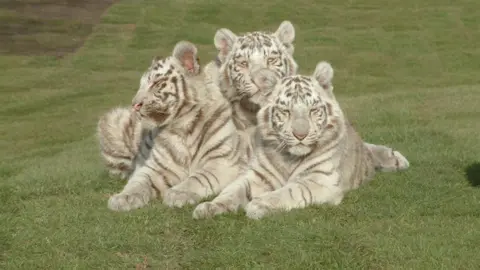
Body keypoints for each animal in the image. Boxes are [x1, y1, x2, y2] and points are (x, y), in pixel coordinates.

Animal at [107, 41, 246, 212]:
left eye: (156, 83)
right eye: (141, 85)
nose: (134, 105)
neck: (182, 126)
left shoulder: (221, 162)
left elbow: (198, 178)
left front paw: (178, 194)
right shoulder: (155, 167)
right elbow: (139, 181)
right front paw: (123, 198)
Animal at [191, 61, 408, 219]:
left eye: (313, 110)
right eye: (286, 111)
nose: (300, 135)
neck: (289, 158)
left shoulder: (320, 180)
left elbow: (289, 191)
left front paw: (258, 204)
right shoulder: (257, 175)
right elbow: (232, 191)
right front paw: (209, 207)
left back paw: (397, 160)